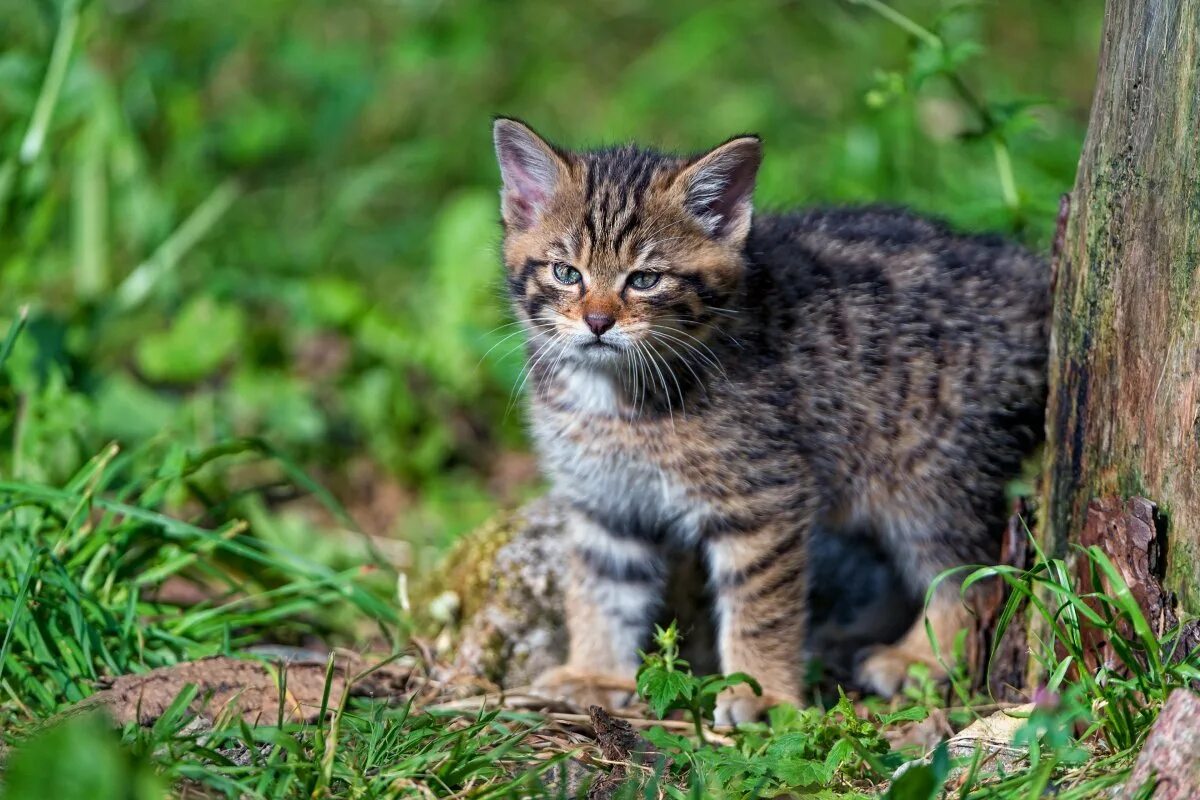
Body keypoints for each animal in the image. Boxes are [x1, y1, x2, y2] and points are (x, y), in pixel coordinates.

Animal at [492, 118, 1046, 724]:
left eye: (644, 280)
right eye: (566, 272)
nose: (596, 321)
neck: (614, 396)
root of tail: (1028, 272)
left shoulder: (765, 497)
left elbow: (761, 604)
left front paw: (761, 693)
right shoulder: (605, 503)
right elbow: (602, 587)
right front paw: (594, 669)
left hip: (937, 475)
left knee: (972, 577)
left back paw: (918, 658)